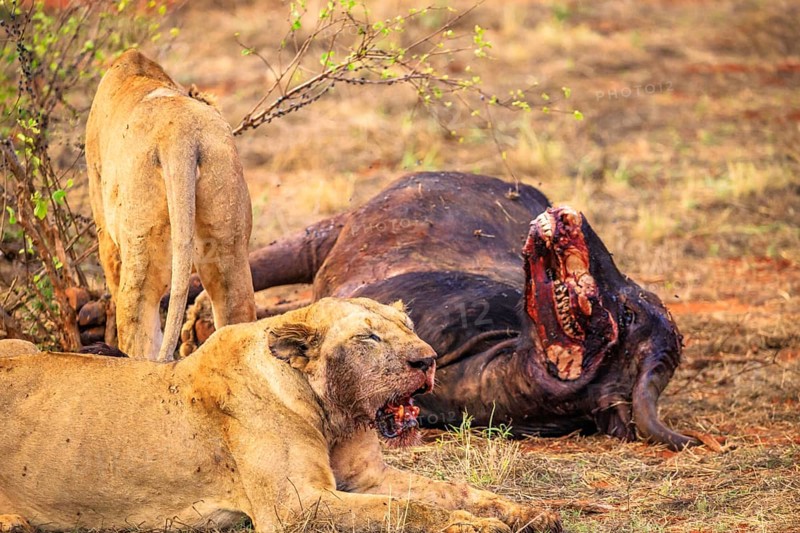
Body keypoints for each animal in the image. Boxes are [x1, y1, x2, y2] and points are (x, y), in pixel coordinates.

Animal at [0, 298, 560, 533]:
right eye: (368, 336)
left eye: (409, 327)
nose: (428, 360)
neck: (334, 416)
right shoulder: (295, 507)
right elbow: (407, 511)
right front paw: (473, 527)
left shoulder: (364, 478)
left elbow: (451, 491)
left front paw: (525, 514)